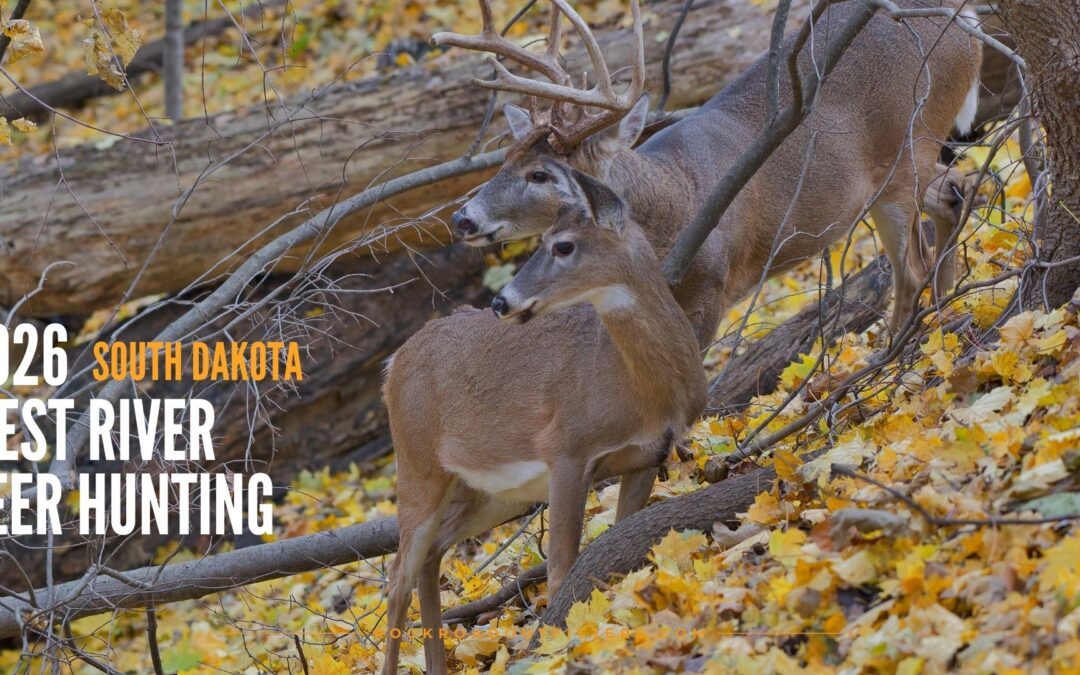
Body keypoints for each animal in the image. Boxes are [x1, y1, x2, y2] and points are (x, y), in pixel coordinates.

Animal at [380, 161, 707, 674]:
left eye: (564, 245)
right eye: (540, 242)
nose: (502, 302)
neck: (642, 391)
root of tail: (392, 365)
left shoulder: (646, 456)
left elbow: (616, 548)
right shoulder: (566, 450)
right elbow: (560, 574)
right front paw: (560, 646)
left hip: (489, 491)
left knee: (431, 557)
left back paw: (437, 664)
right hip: (416, 465)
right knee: (397, 578)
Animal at [434, 0, 983, 348]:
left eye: (542, 175)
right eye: (506, 158)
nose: (463, 218)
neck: (673, 199)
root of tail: (966, 22)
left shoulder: (711, 290)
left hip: (908, 148)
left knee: (912, 265)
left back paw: (896, 346)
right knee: (954, 191)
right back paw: (946, 310)